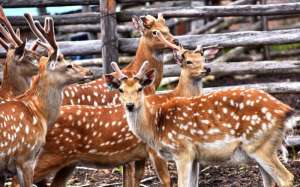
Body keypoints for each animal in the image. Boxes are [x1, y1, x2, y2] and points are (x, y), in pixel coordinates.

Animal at [106, 61, 296, 187]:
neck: (155, 127)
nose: (130, 105)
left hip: (260, 145)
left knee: (286, 178)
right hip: (263, 147)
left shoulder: (182, 150)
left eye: (140, 89)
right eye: (120, 90)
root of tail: (286, 111)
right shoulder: (195, 156)